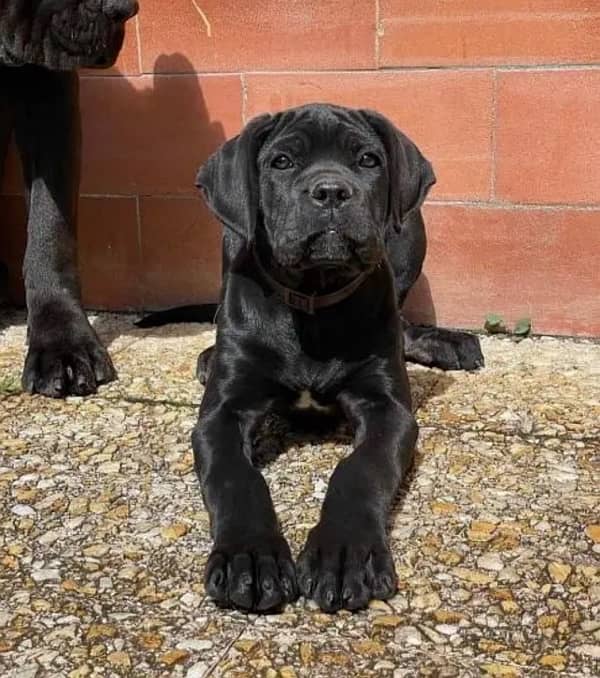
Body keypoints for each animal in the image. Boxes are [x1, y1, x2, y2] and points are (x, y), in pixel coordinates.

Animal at [195, 102, 486, 616]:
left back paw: (442, 342)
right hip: (231, 240)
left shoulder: (388, 410)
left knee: (402, 317)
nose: (331, 191)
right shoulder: (221, 414)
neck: (314, 298)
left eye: (368, 160)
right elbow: (235, 477)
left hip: (408, 232)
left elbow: (359, 470)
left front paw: (346, 553)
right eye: (282, 162)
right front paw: (250, 556)